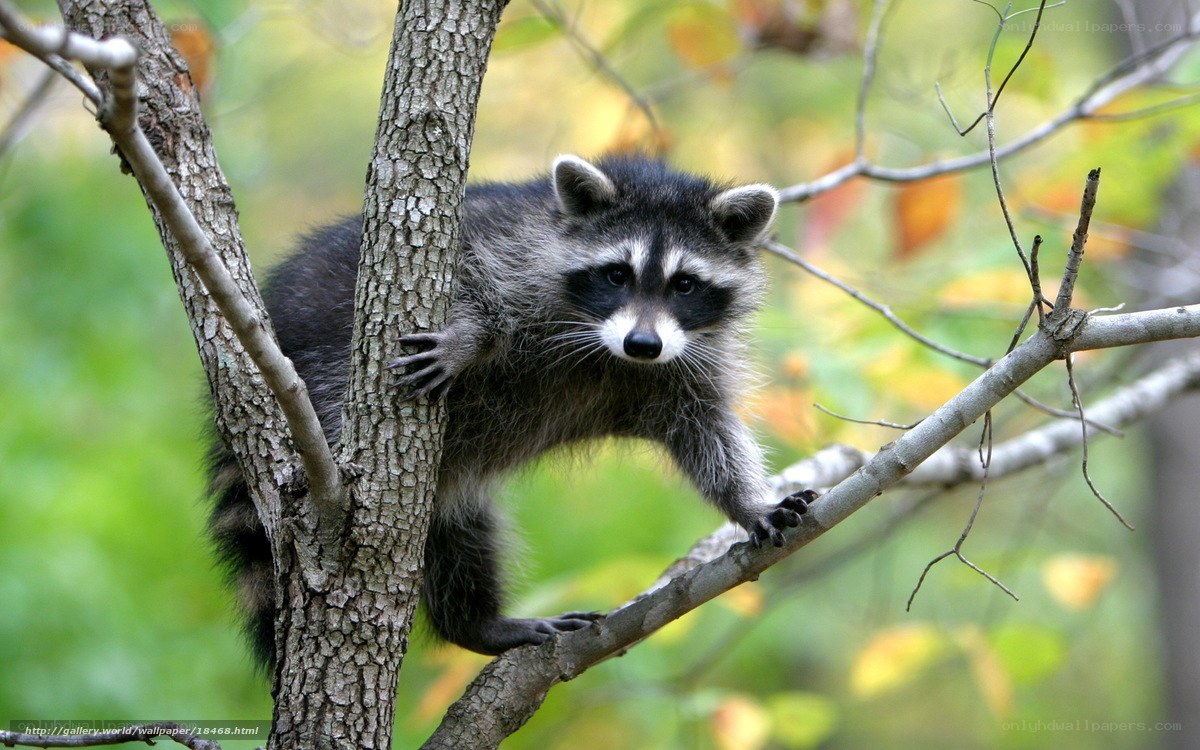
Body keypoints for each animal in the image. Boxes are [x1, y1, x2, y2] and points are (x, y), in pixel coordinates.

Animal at [208, 154, 812, 664]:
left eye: (685, 284)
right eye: (617, 273)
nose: (643, 344)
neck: (609, 351)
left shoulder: (684, 364)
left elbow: (707, 432)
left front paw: (748, 502)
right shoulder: (509, 246)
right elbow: (471, 276)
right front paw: (469, 336)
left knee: (459, 534)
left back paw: (475, 623)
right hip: (325, 370)